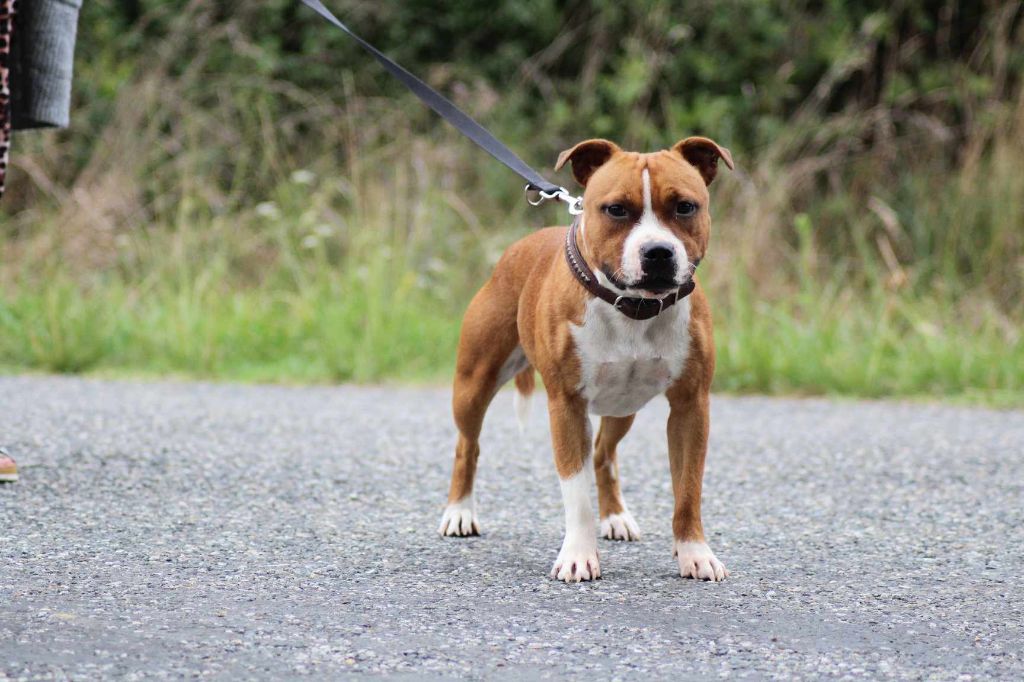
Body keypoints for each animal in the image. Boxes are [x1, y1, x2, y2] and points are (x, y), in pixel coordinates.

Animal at [436, 137, 733, 577]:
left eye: (684, 207)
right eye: (616, 209)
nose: (658, 252)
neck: (634, 308)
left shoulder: (691, 406)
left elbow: (687, 489)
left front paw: (695, 553)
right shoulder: (567, 405)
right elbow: (575, 493)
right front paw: (578, 556)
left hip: (623, 407)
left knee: (603, 454)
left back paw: (616, 517)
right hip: (474, 383)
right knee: (467, 446)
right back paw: (459, 512)